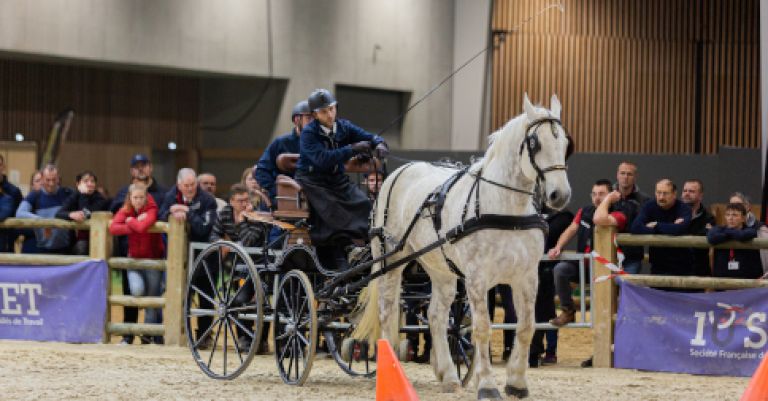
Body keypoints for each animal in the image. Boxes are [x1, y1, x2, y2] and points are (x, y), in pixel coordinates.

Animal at [354, 94, 568, 400]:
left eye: (565, 143)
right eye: (535, 143)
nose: (559, 195)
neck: (504, 208)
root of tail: (399, 172)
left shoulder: (526, 277)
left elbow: (527, 326)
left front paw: (516, 382)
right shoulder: (477, 278)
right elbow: (482, 328)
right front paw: (488, 385)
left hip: (440, 269)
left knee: (435, 315)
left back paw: (449, 376)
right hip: (389, 260)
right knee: (387, 310)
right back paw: (391, 370)